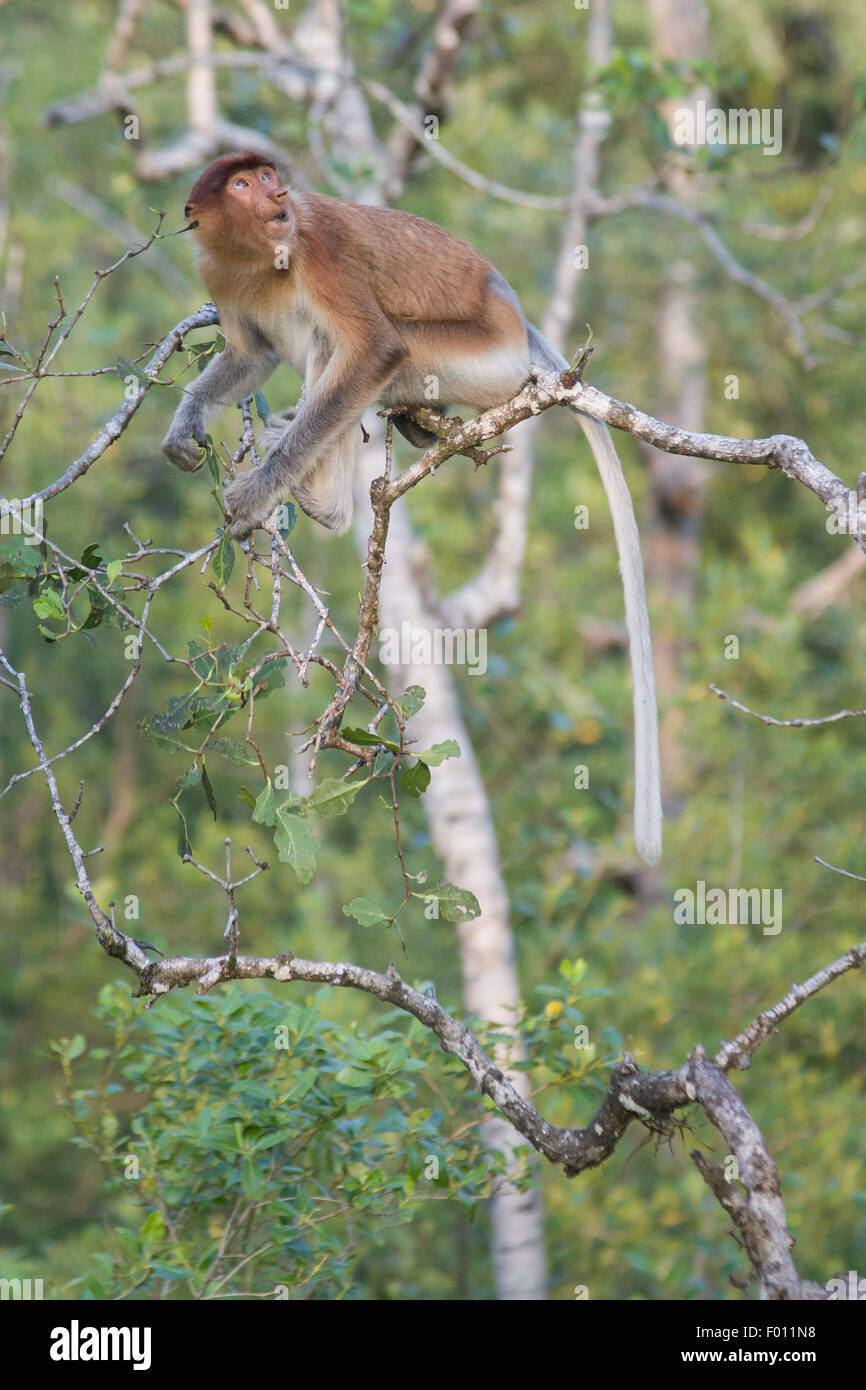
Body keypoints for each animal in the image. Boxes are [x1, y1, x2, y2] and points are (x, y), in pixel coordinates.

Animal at [162, 157, 664, 861]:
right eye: (242, 184)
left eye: (264, 176)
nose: (278, 193)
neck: (257, 256)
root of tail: (516, 321)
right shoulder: (218, 271)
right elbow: (249, 355)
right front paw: (184, 429)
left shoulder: (321, 251)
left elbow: (374, 348)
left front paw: (259, 491)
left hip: (473, 359)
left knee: (343, 341)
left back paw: (320, 497)